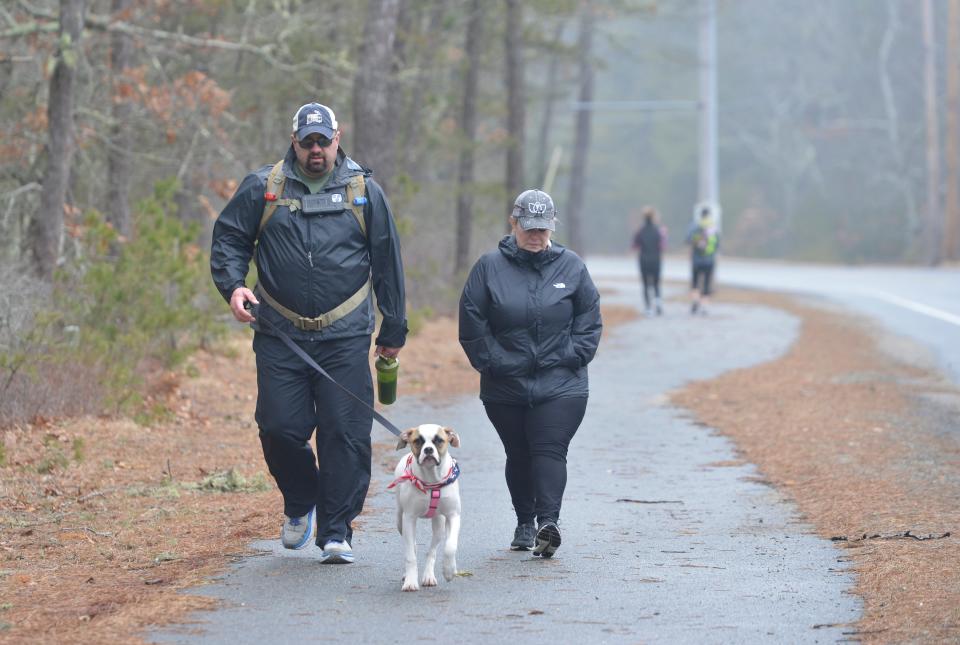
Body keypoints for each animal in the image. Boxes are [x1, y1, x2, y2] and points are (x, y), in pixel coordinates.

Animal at [386, 426, 462, 592]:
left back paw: (429, 576)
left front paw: (449, 571)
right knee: (412, 546)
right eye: (418, 441)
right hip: (400, 520)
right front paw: (410, 581)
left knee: (432, 550)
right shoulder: (409, 518)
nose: (428, 450)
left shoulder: (453, 515)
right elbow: (410, 555)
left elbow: (450, 546)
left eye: (439, 440)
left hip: (439, 525)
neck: (431, 481)